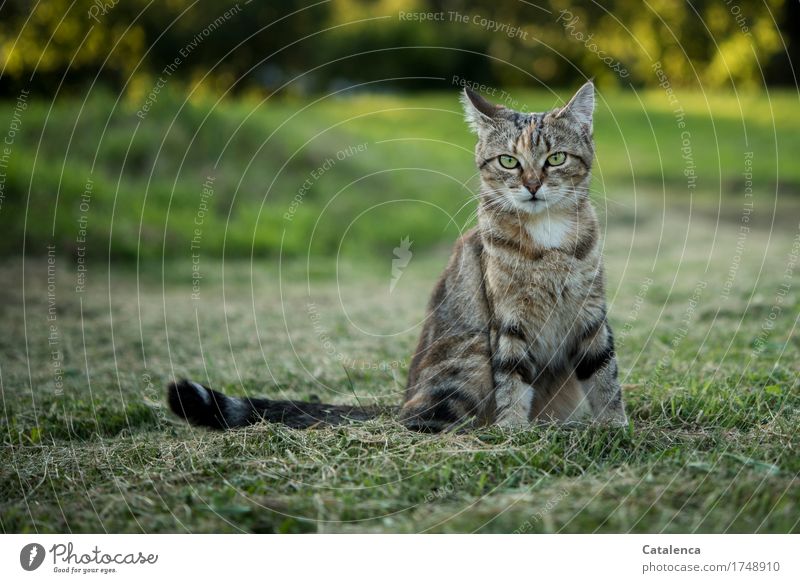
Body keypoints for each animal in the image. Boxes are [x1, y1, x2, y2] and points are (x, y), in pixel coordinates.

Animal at [169, 84, 628, 436]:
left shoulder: (591, 312)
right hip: (469, 357)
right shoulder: (508, 321)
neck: (547, 238)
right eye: (508, 162)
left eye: (556, 158)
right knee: (425, 422)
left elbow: (604, 374)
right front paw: (513, 432)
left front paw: (614, 427)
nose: (532, 186)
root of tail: (402, 400)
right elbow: (513, 380)